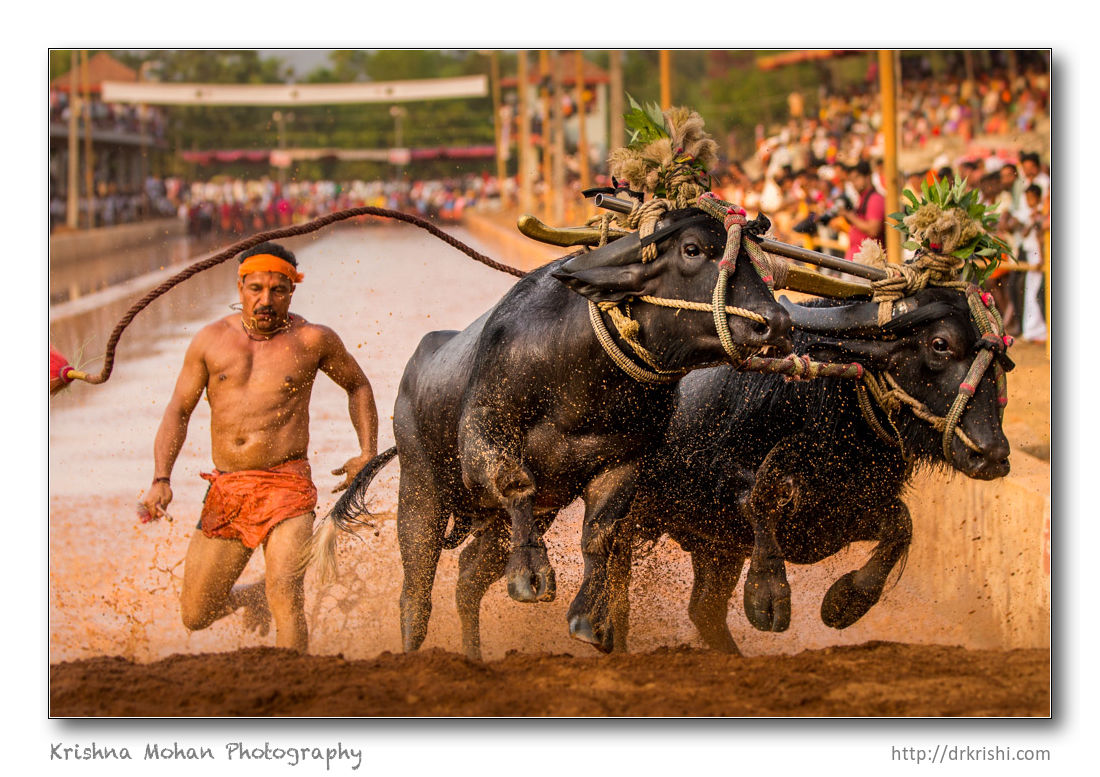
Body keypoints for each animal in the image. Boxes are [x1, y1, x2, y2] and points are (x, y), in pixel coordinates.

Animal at [325, 204, 792, 651]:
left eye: (756, 256)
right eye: (692, 249)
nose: (776, 322)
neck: (583, 384)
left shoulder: (624, 463)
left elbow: (600, 533)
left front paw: (590, 615)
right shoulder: (482, 439)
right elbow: (514, 482)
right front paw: (532, 574)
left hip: (508, 521)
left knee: (469, 578)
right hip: (421, 491)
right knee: (416, 594)